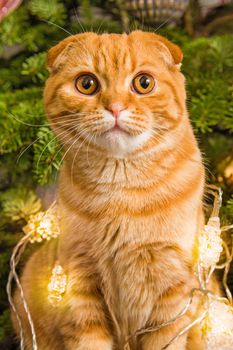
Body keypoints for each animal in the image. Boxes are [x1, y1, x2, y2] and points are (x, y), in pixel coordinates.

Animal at [11, 31, 207, 348]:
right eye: (87, 84)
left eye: (144, 83)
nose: (115, 107)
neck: (121, 195)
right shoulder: (80, 284)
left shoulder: (173, 292)